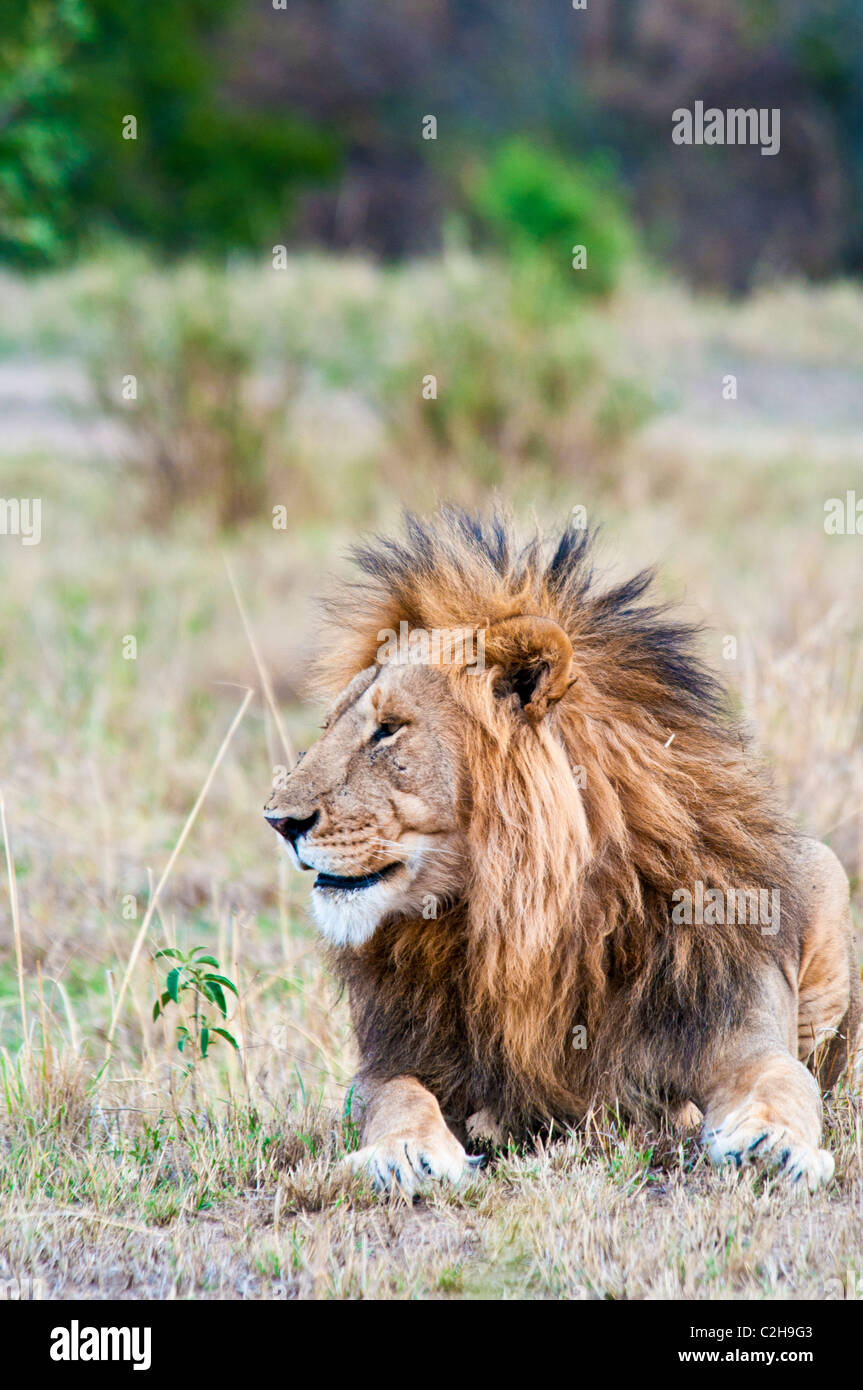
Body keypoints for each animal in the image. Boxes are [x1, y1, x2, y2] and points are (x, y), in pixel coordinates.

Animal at [264, 508, 860, 1194]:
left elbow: (785, 1082)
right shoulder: (395, 1061)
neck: (522, 922)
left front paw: (771, 1145)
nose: (278, 821)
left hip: (827, 876)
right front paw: (406, 1154)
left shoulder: (737, 1030)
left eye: (389, 730)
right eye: (330, 726)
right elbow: (396, 1098)